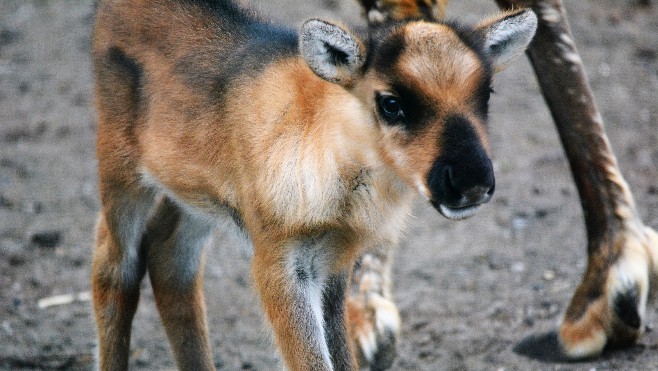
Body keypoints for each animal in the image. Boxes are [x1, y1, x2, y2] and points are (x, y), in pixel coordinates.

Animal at [89, 0, 536, 370]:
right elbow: (311, 360)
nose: (471, 182)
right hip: (121, 170)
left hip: (193, 195)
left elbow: (342, 353)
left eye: (487, 92)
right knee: (113, 265)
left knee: (168, 258)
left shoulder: (335, 264)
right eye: (390, 102)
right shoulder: (277, 262)